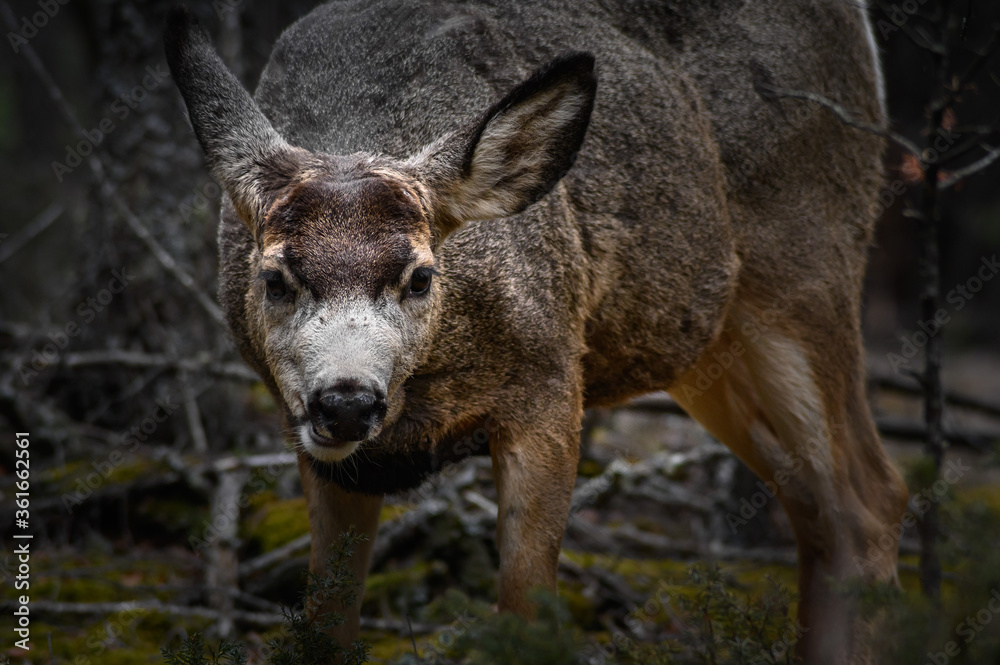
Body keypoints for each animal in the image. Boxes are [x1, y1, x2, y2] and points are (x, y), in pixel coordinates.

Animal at [164, 1, 908, 662]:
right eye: (273, 278)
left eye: (421, 277)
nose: (347, 399)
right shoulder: (316, 442)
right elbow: (326, 623)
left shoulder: (550, 379)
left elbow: (525, 616)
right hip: (708, 349)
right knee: (819, 505)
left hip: (805, 274)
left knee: (870, 496)